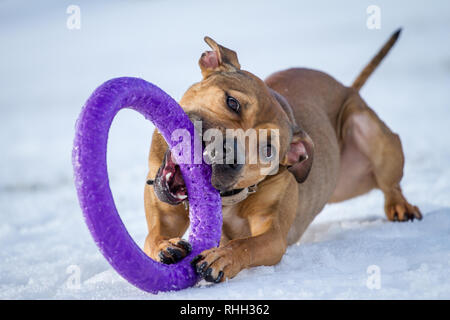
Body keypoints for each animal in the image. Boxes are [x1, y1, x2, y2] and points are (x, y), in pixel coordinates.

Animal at [142, 29, 420, 282]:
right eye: (232, 102)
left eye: (268, 149)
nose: (227, 154)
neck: (228, 199)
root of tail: (347, 89)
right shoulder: (163, 207)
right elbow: (153, 233)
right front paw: (165, 245)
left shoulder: (273, 236)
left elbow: (247, 244)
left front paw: (223, 256)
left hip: (369, 130)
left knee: (390, 184)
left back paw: (401, 207)